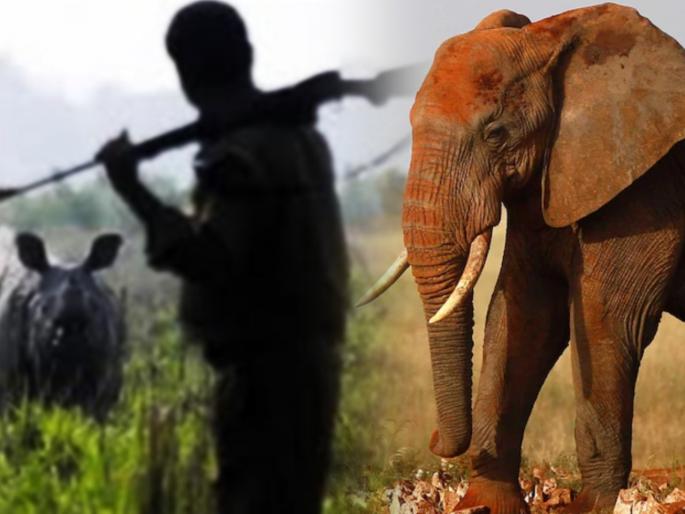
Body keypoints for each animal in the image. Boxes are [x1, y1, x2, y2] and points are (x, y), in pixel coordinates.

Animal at [360, 4, 685, 513]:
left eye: (495, 134)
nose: (433, 441)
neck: (554, 39)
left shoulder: (644, 189)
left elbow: (607, 318)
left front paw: (593, 505)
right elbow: (524, 316)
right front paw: (485, 502)